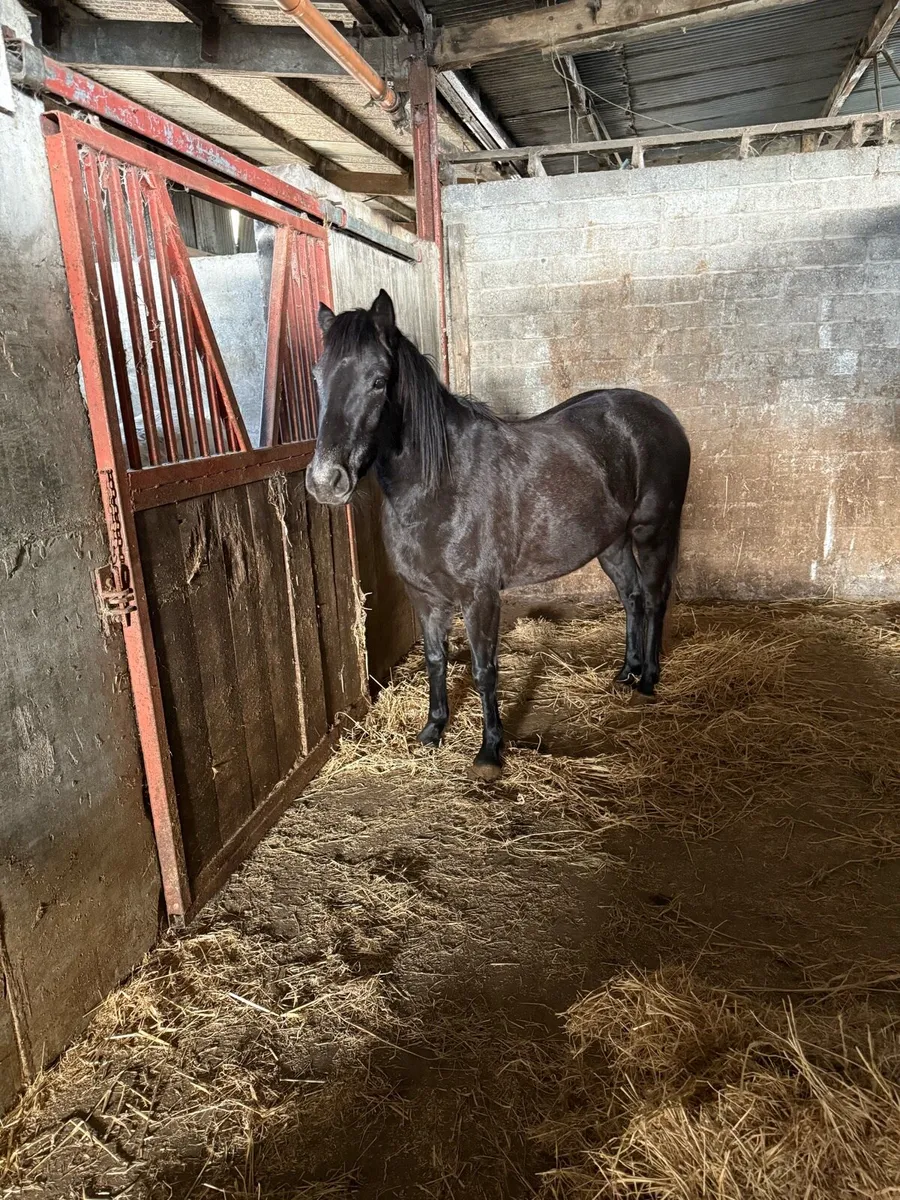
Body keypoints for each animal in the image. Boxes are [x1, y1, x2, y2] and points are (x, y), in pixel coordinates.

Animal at [307, 290, 691, 781]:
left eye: (378, 381)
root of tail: (662, 414)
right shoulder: (425, 597)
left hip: (652, 531)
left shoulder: (481, 597)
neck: (439, 486)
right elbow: (435, 661)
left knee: (656, 596)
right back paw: (627, 672)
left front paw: (490, 752)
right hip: (612, 543)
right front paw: (433, 730)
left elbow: (484, 669)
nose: (326, 481)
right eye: (317, 378)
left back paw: (648, 681)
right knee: (633, 597)